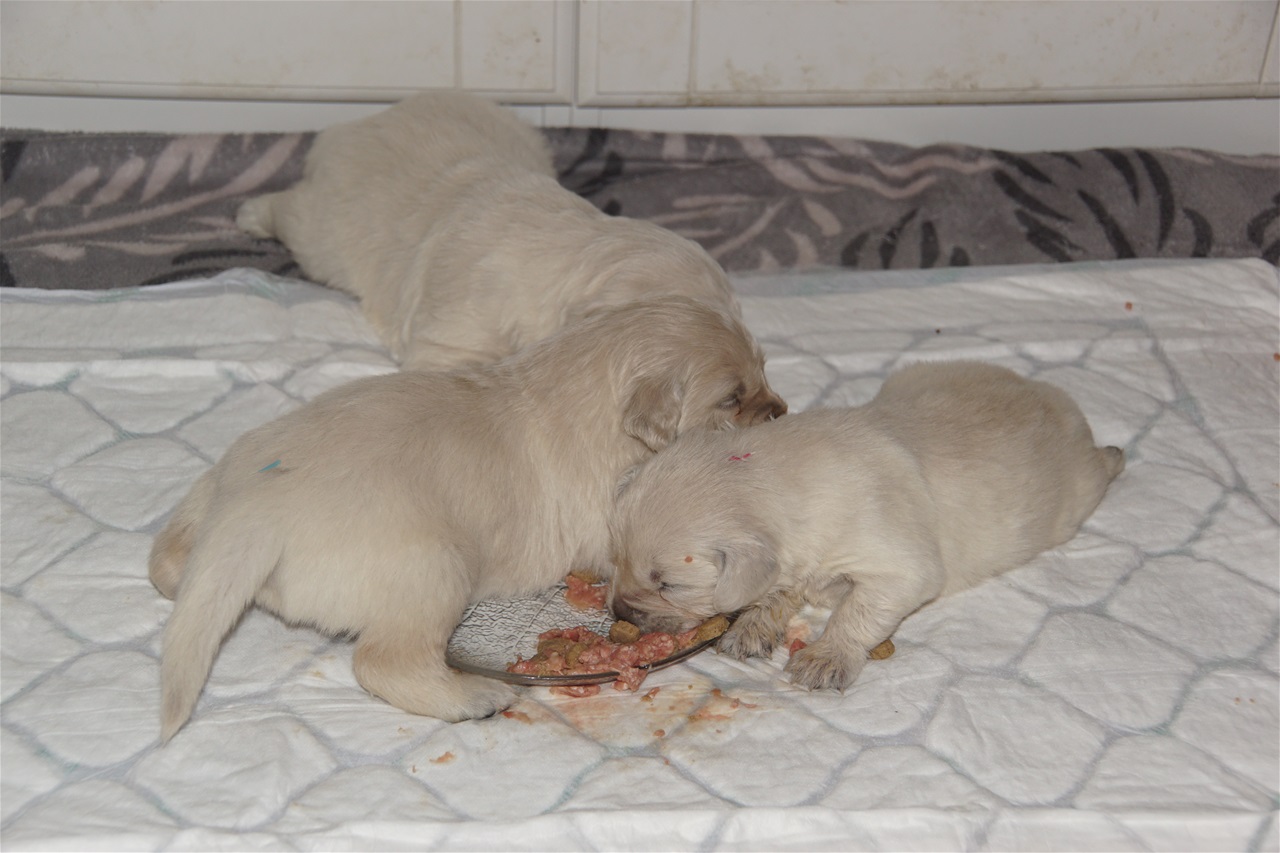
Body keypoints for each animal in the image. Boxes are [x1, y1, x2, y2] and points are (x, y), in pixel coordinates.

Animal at [149, 296, 785, 741]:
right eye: (731, 398)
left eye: (763, 369)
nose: (780, 412)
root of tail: (253, 513)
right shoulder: (611, 528)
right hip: (433, 570)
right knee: (382, 662)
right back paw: (476, 698)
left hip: (215, 489)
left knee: (169, 564)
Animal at [609, 361, 1124, 692]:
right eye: (616, 560)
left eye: (668, 584)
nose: (618, 612)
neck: (768, 476)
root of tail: (1058, 399)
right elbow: (778, 590)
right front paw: (754, 625)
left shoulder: (898, 567)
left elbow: (856, 613)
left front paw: (826, 657)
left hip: (1078, 490)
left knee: (1098, 467)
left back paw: (1114, 454)